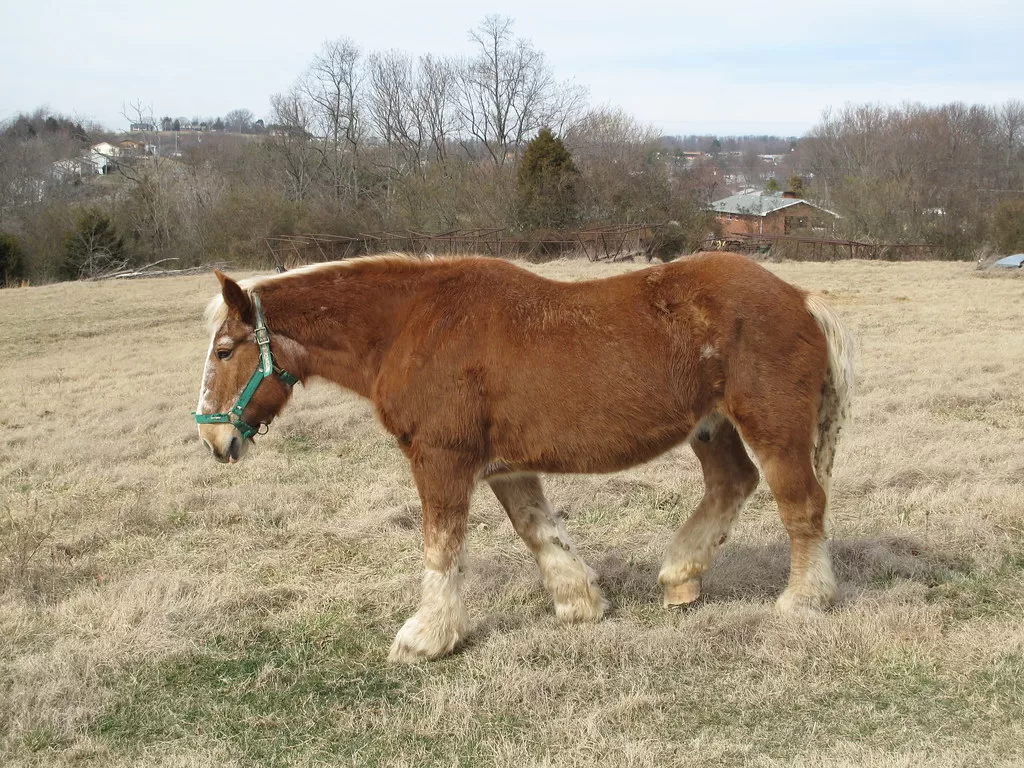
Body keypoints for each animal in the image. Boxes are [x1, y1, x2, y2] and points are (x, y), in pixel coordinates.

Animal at [195, 252, 851, 663]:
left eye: (225, 350)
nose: (214, 441)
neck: (412, 326)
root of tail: (799, 297)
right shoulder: (506, 468)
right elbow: (538, 531)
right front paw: (580, 602)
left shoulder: (442, 460)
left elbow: (441, 547)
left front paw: (426, 638)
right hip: (711, 428)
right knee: (732, 484)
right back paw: (680, 577)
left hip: (773, 429)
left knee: (801, 505)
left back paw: (804, 600)